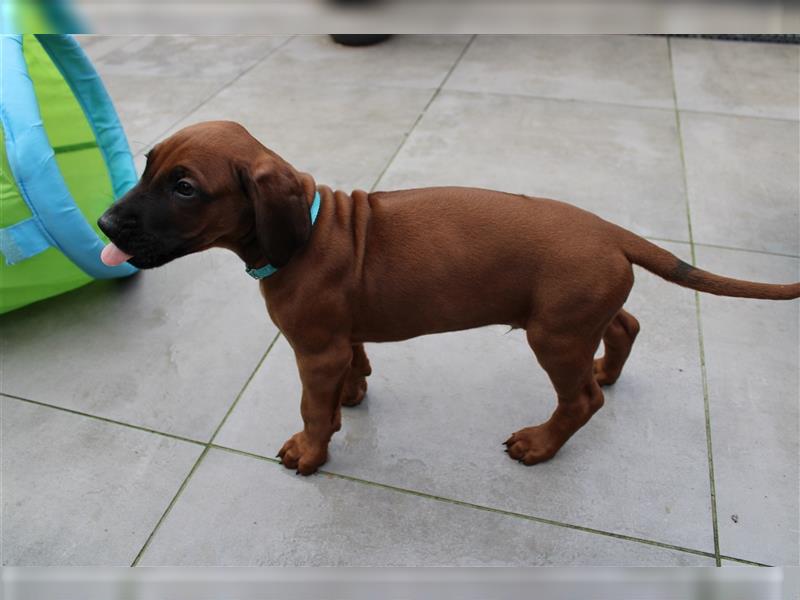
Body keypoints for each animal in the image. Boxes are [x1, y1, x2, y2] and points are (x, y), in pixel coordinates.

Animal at [97, 122, 796, 476]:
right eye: (146, 163)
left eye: (185, 188)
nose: (103, 223)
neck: (314, 229)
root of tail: (611, 232)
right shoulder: (341, 337)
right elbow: (353, 367)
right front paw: (354, 395)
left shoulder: (313, 352)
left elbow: (311, 409)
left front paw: (311, 451)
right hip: (577, 314)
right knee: (624, 325)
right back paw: (608, 370)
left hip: (553, 335)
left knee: (581, 402)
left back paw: (541, 444)